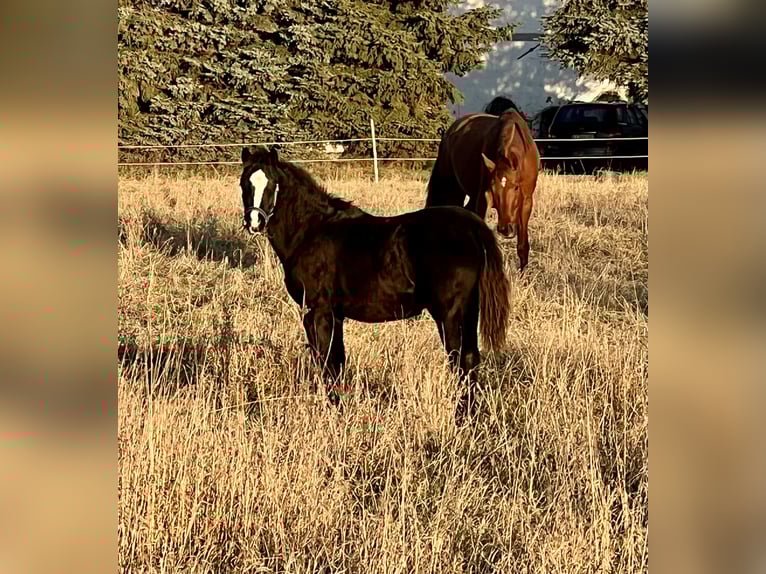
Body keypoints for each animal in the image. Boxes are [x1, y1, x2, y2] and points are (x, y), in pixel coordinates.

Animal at [239, 145, 511, 415]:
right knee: (471, 358)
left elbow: (327, 360)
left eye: (272, 184)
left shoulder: (317, 311)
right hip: (469, 310)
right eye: (244, 183)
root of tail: (472, 226)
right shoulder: (336, 314)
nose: (255, 222)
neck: (311, 231)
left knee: (460, 360)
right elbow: (338, 359)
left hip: (450, 313)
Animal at [425, 110, 541, 272]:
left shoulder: (526, 202)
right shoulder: (483, 199)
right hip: (453, 189)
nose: (506, 229)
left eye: (516, 187)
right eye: (492, 188)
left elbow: (523, 244)